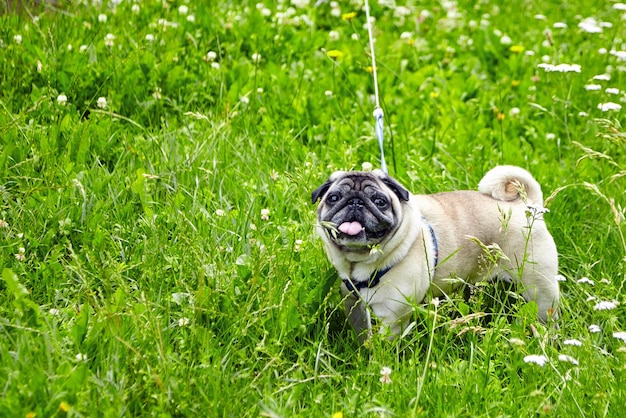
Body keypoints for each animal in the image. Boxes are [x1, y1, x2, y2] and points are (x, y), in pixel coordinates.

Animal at [310, 167, 560, 340]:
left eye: (379, 201)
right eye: (333, 198)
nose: (355, 202)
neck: (361, 261)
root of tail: (525, 206)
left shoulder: (393, 316)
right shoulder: (355, 306)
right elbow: (363, 336)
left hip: (539, 290)